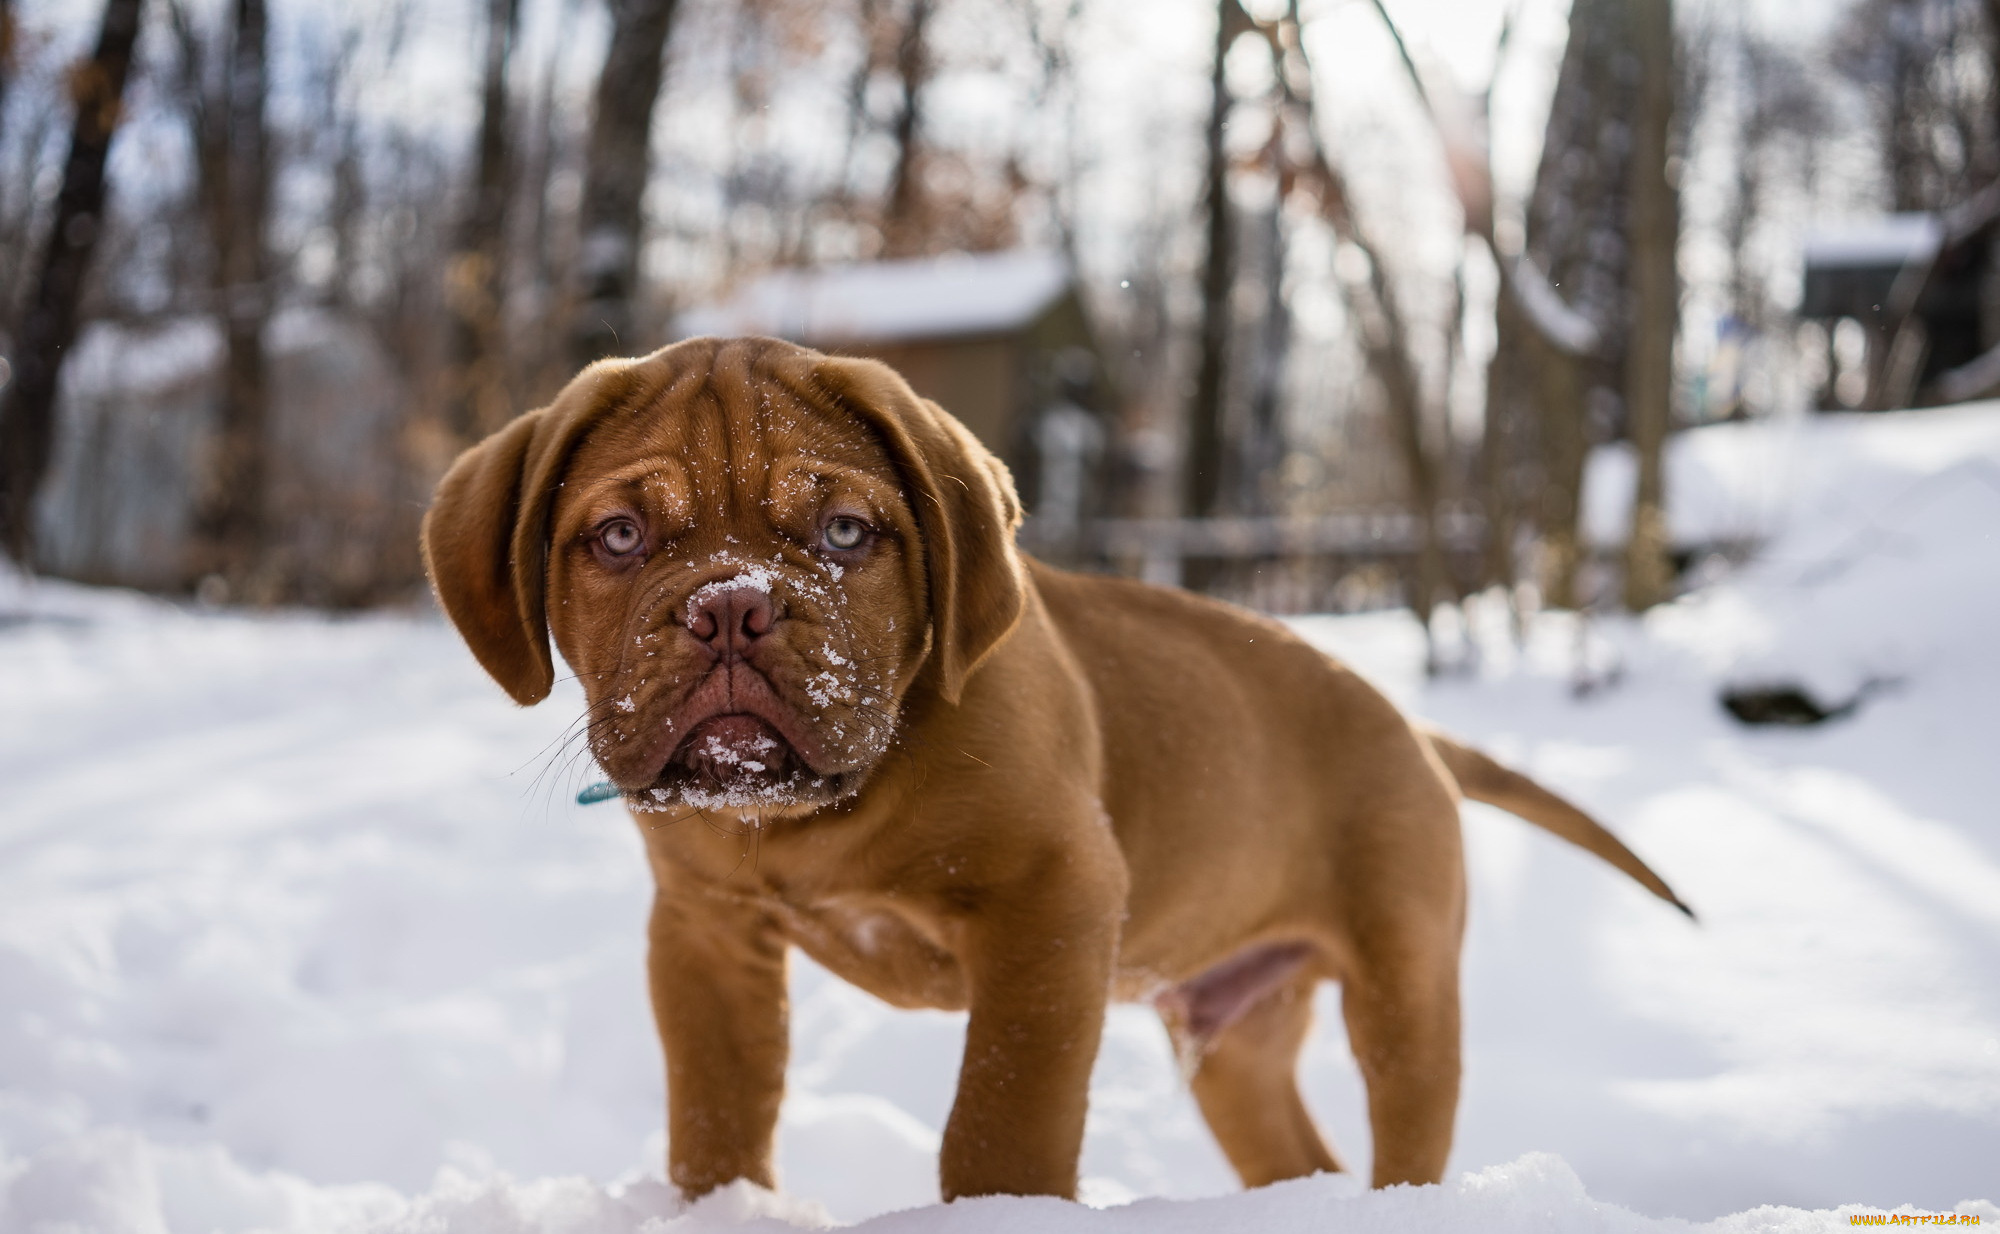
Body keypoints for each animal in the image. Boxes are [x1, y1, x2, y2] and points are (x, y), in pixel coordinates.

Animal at [422, 336, 1688, 1200]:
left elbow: (1000, 1118)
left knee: (1401, 1134)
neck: (820, 817)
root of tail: (1413, 728)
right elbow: (716, 1121)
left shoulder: (1052, 900)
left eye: (843, 534)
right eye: (619, 537)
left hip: (1404, 991)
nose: (731, 608)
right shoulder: (703, 933)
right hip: (1235, 1044)